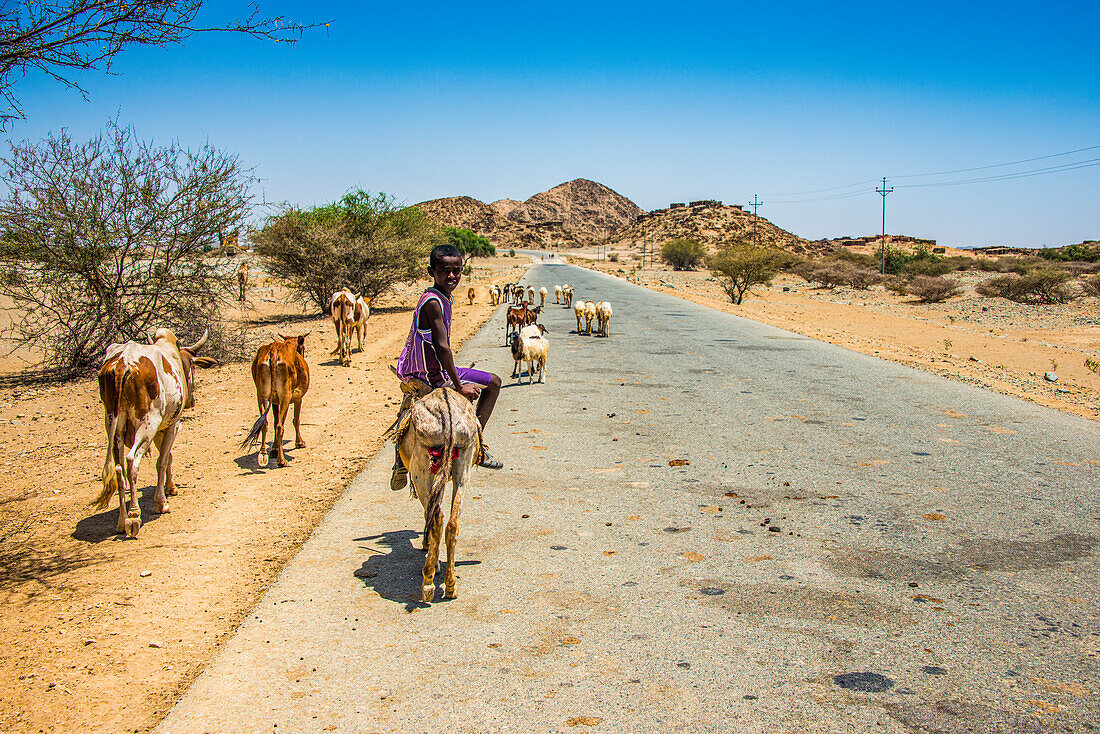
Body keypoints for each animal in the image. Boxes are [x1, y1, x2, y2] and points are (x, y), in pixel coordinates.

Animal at [94, 330, 216, 537]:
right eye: (191, 365)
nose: (191, 401)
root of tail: (123, 364)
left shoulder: (161, 428)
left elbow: (167, 456)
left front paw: (170, 487)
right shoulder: (172, 425)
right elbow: (163, 460)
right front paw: (161, 502)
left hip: (113, 425)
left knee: (119, 469)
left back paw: (121, 521)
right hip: (146, 424)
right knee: (132, 461)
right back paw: (134, 516)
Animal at [242, 332, 310, 464]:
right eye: (303, 348)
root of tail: (273, 351)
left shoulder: (274, 401)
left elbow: (275, 421)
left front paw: (273, 449)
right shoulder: (297, 398)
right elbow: (296, 420)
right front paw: (299, 442)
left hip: (261, 396)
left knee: (265, 423)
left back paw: (263, 453)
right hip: (285, 397)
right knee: (280, 426)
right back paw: (281, 460)